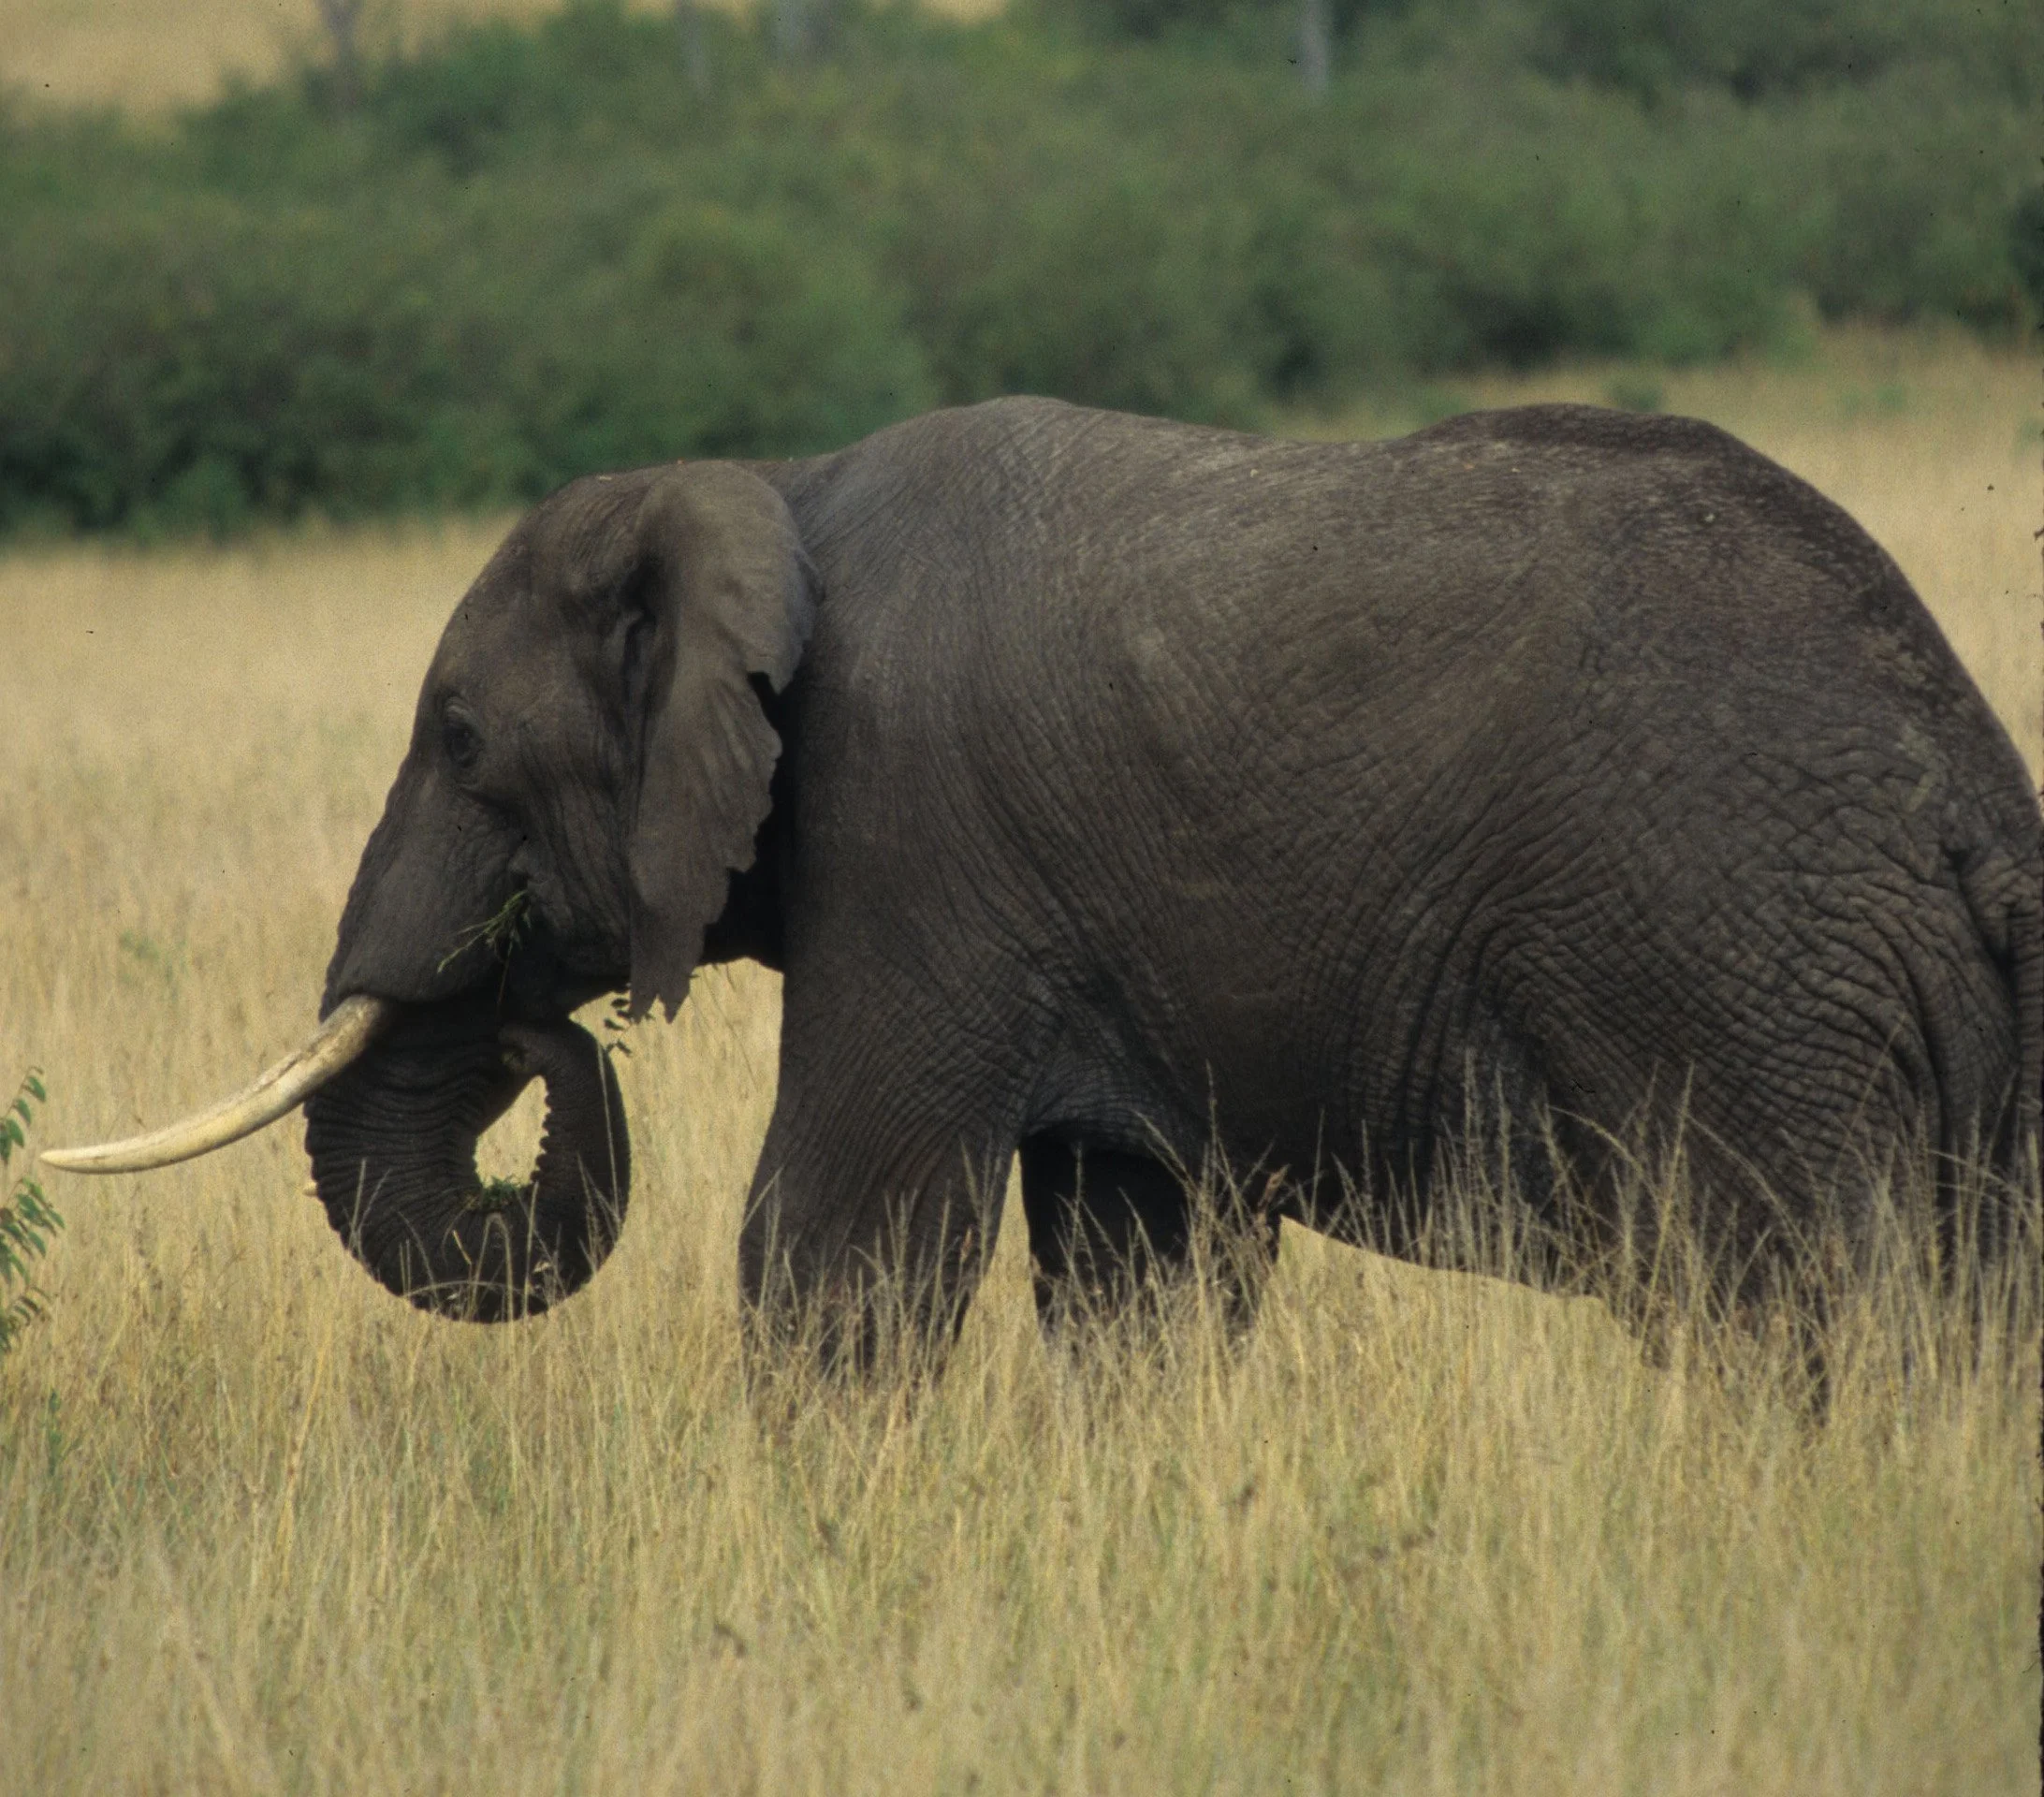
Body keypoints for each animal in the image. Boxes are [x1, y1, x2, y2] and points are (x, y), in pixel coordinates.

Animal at [47, 397, 2042, 1357]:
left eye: (461, 739)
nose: (542, 1020)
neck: (772, 489)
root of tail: (1968, 790)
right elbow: (1129, 1277)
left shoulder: (912, 845)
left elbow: (834, 1252)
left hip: (1730, 982)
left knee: (1791, 1310)